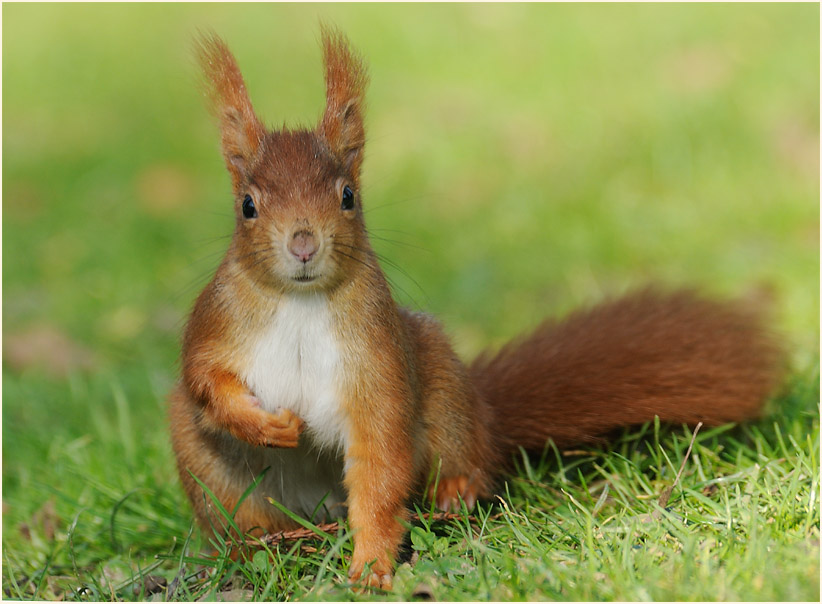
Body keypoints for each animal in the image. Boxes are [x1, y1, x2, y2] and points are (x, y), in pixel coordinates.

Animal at [169, 28, 784, 589]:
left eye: (347, 196)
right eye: (248, 206)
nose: (302, 243)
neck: (299, 301)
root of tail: (319, 512)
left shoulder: (377, 361)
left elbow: (381, 463)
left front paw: (371, 566)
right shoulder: (217, 323)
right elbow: (205, 378)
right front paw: (266, 424)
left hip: (443, 386)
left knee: (464, 458)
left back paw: (453, 490)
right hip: (206, 463)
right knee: (240, 508)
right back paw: (266, 543)